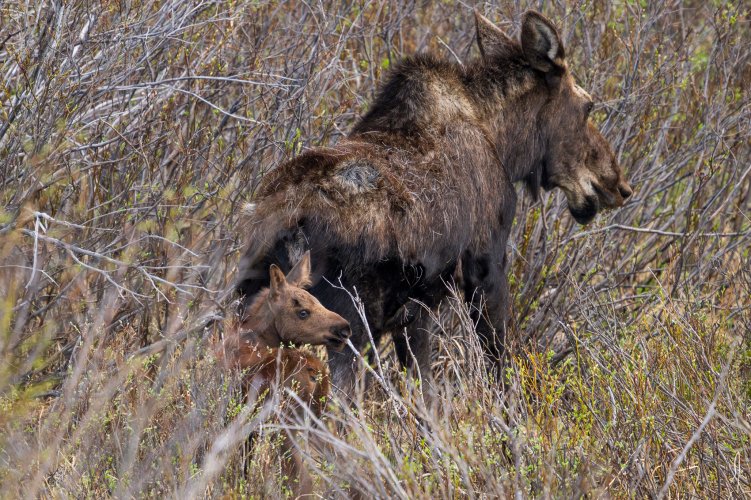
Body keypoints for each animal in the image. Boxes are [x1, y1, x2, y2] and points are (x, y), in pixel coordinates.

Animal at [234, 10, 628, 398]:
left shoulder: (414, 309)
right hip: (347, 320)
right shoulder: (485, 261)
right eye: (587, 106)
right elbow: (496, 359)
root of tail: (284, 221)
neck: (505, 143)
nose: (618, 184)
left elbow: (423, 389)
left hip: (250, 299)